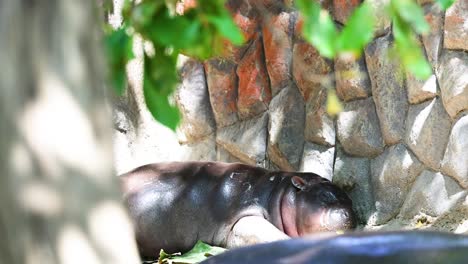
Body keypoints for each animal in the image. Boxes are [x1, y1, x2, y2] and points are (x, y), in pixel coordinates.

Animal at [119, 161, 356, 258]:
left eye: (349, 199)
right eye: (324, 195)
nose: (350, 216)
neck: (279, 192)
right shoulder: (243, 219)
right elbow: (270, 235)